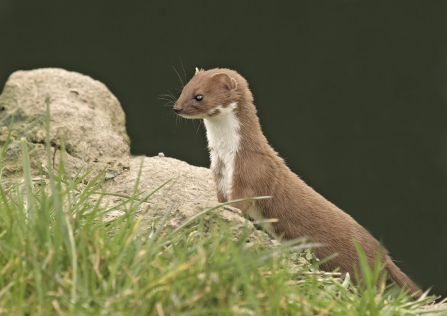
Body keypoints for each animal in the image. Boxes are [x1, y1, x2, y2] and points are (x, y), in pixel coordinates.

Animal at [173, 67, 422, 298]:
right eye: (183, 89)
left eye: (199, 96)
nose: (176, 108)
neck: (226, 156)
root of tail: (384, 255)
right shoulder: (219, 176)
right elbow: (221, 200)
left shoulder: (251, 173)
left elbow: (242, 201)